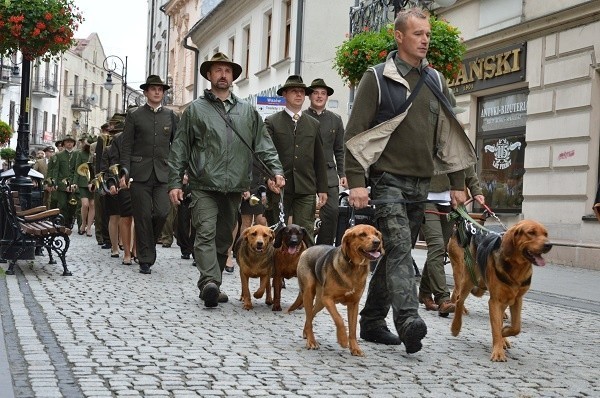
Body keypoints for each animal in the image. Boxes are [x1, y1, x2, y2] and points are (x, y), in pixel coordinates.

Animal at [288, 224, 382, 358]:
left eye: (376, 234)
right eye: (362, 234)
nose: (377, 242)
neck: (354, 267)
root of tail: (307, 250)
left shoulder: (354, 304)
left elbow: (353, 329)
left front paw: (355, 348)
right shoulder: (328, 299)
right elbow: (339, 319)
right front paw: (342, 339)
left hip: (320, 302)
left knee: (311, 314)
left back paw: (307, 333)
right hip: (309, 294)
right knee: (309, 316)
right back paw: (311, 341)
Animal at [450, 219, 552, 362]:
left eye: (546, 234)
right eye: (531, 233)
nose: (549, 245)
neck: (517, 268)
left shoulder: (517, 300)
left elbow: (515, 327)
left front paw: (504, 332)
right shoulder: (494, 301)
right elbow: (496, 327)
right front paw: (498, 351)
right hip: (468, 278)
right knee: (459, 299)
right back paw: (455, 327)